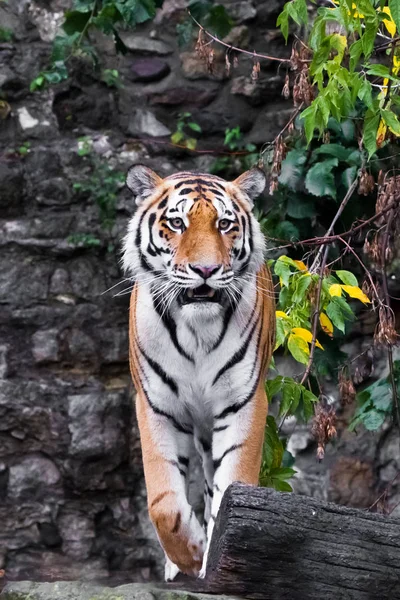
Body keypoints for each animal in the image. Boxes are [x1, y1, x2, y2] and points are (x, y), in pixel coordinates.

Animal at [122, 164, 276, 580]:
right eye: (176, 223)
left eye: (224, 224)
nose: (206, 270)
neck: (197, 330)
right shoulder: (157, 406)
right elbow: (163, 502)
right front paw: (189, 555)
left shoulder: (242, 403)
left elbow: (231, 485)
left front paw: (215, 556)